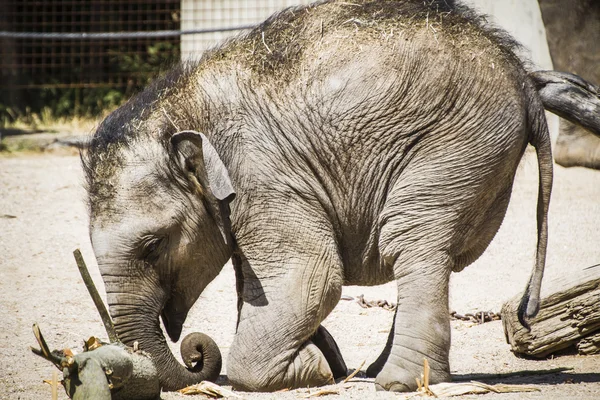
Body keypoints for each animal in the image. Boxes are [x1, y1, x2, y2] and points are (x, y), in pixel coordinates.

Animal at [83, 0, 552, 394]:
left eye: (153, 246)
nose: (196, 354)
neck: (183, 108)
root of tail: (521, 73)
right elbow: (260, 283)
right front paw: (325, 355)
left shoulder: (263, 171)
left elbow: (312, 275)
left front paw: (320, 369)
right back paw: (374, 371)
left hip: (457, 145)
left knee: (412, 241)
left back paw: (396, 382)